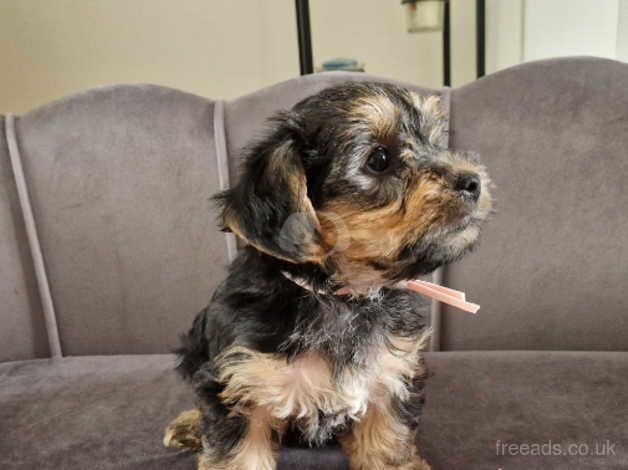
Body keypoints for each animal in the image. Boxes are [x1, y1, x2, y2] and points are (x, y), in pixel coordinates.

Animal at [164, 82, 494, 468]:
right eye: (379, 159)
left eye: (435, 143)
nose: (473, 181)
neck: (338, 294)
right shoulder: (242, 384)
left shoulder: (389, 378)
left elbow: (387, 447)